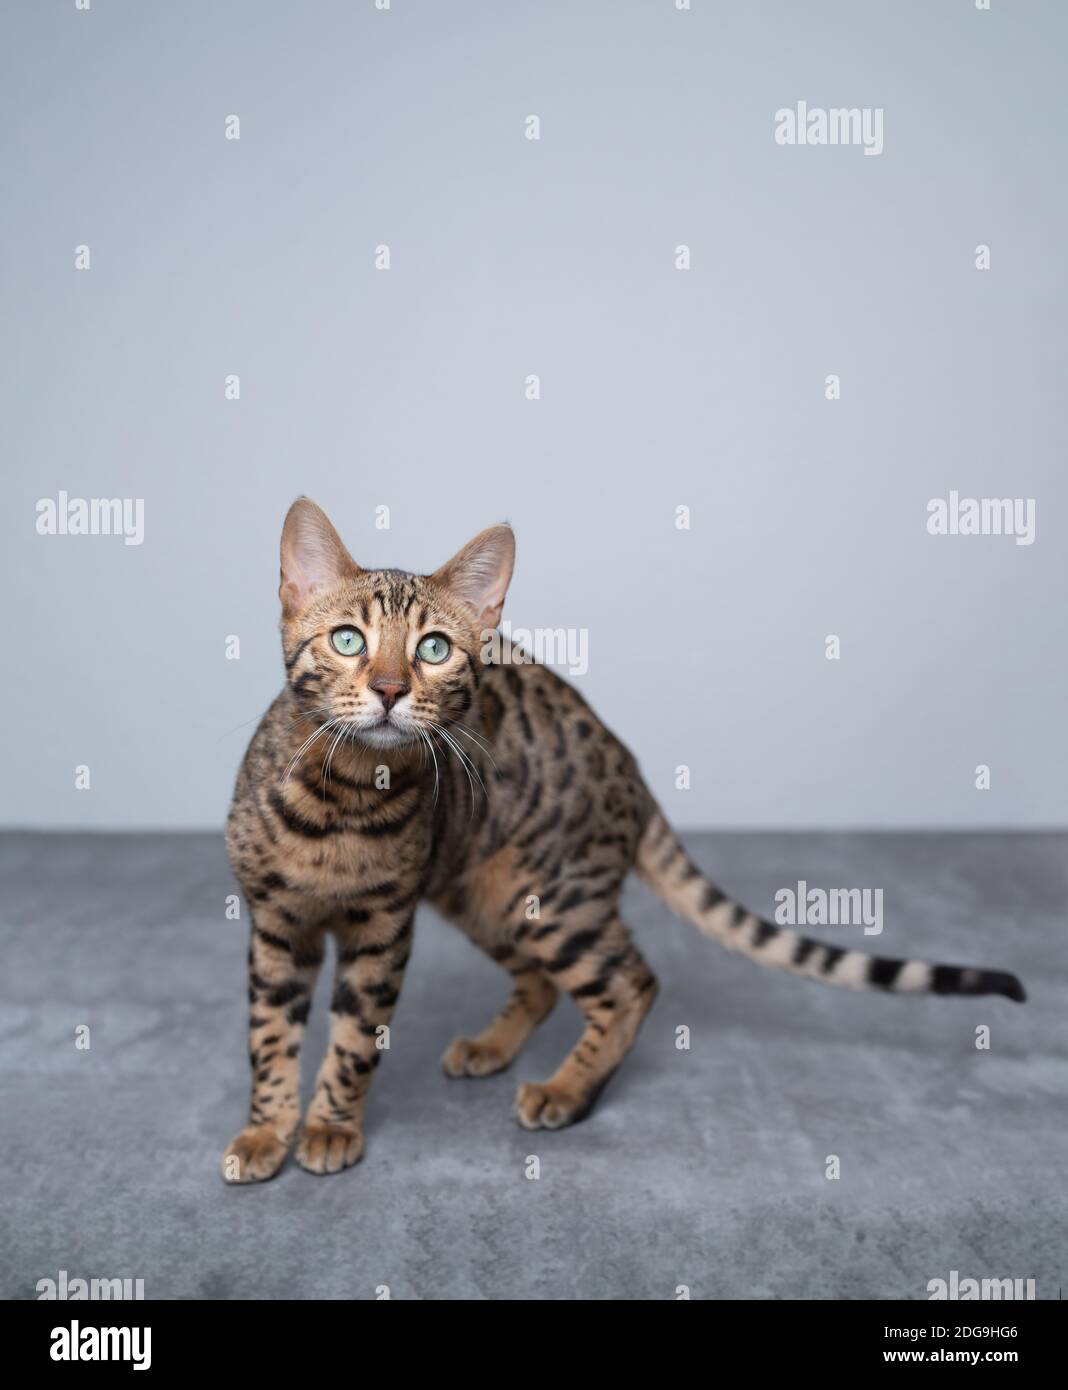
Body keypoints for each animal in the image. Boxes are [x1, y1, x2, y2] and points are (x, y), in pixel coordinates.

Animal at [221, 500, 1029, 1184]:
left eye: (435, 649)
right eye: (347, 640)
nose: (389, 689)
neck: (345, 798)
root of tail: (633, 768)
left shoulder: (382, 931)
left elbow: (355, 1040)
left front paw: (330, 1127)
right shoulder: (275, 926)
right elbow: (268, 1035)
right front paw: (267, 1132)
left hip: (550, 895)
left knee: (630, 981)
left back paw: (567, 1090)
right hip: (483, 891)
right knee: (543, 981)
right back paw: (491, 1049)